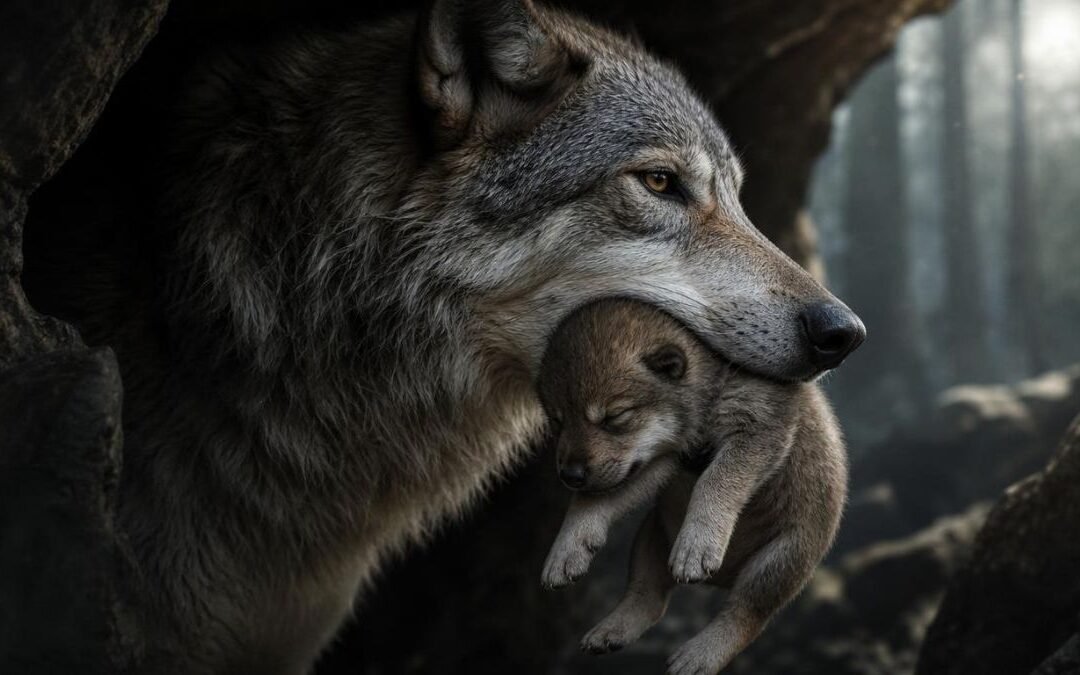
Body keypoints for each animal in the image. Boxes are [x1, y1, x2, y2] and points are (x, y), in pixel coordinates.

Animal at [536, 299, 847, 674]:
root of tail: (722, 579)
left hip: (778, 563)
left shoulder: (759, 432)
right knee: (648, 596)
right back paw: (613, 630)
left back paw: (701, 654)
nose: (570, 475)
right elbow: (590, 501)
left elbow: (715, 482)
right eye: (557, 421)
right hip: (652, 536)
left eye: (615, 417)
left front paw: (698, 544)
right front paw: (567, 548)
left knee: (745, 615)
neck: (713, 380)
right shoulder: (659, 459)